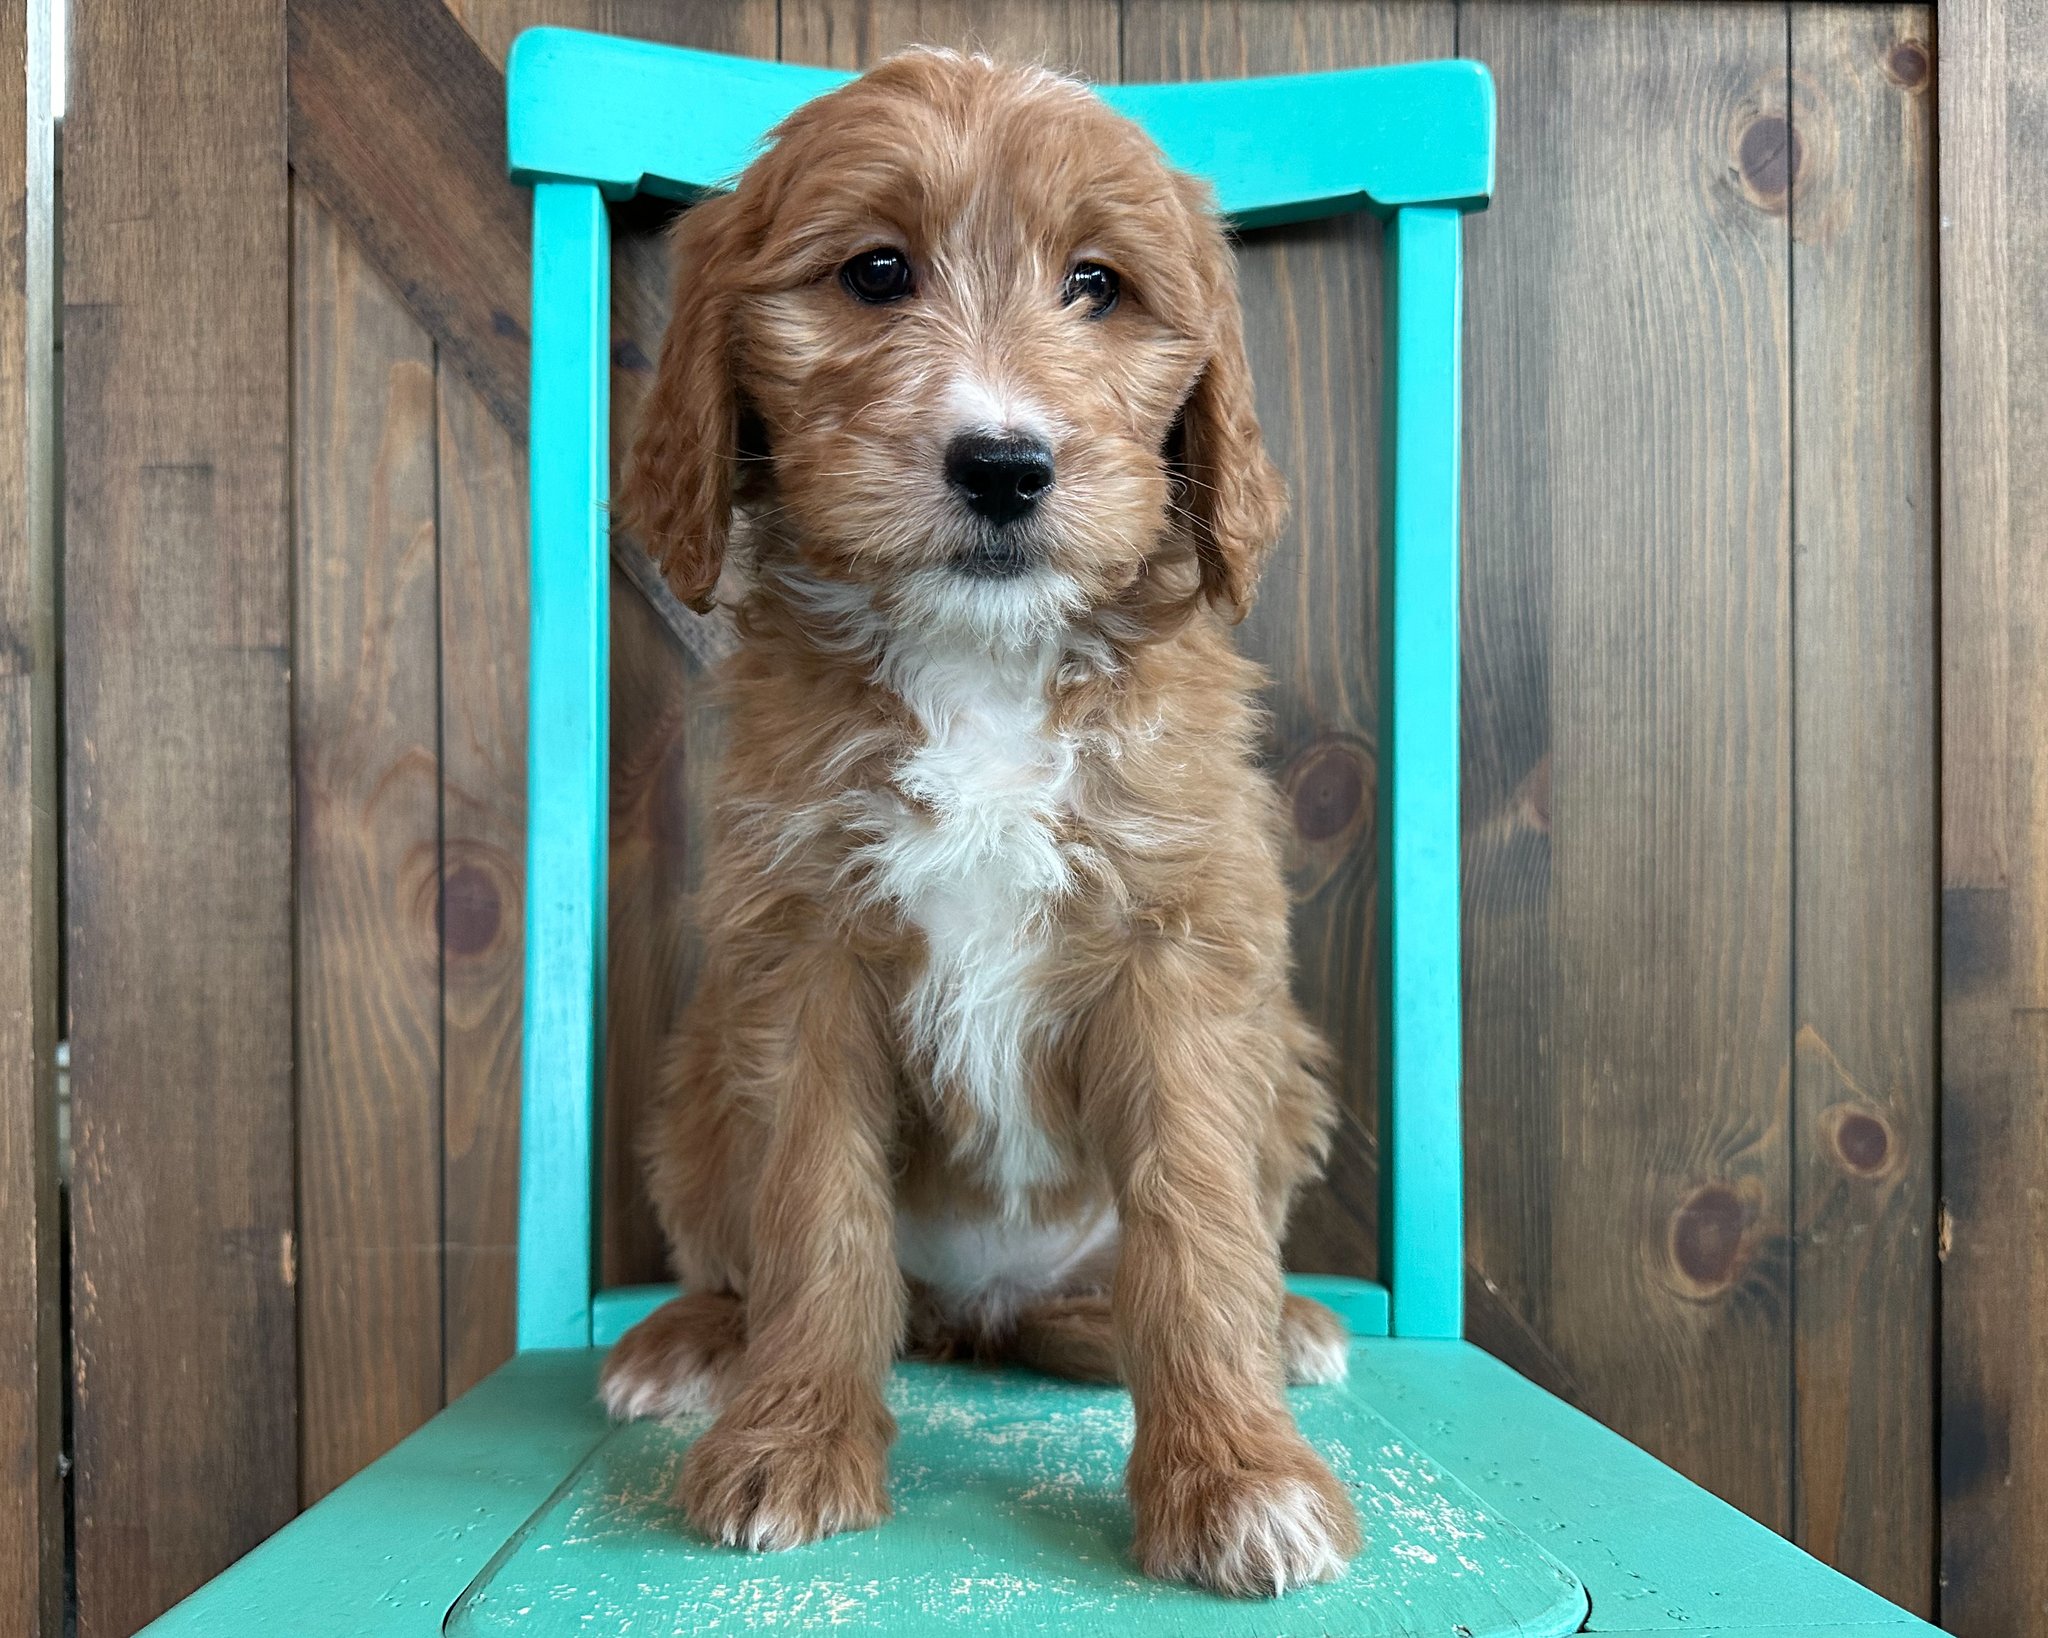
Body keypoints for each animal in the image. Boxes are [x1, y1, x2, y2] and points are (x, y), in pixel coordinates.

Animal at [598, 48, 1351, 1597]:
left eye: (1099, 287)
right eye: (875, 273)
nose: (1003, 464)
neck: (982, 664)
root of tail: (983, 1313)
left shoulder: (1180, 949)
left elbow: (1195, 1225)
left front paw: (1235, 1476)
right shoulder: (802, 956)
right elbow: (814, 1214)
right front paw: (791, 1440)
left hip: (1290, 1068)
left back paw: (1273, 1326)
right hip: (696, 1082)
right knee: (741, 1254)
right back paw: (694, 1344)